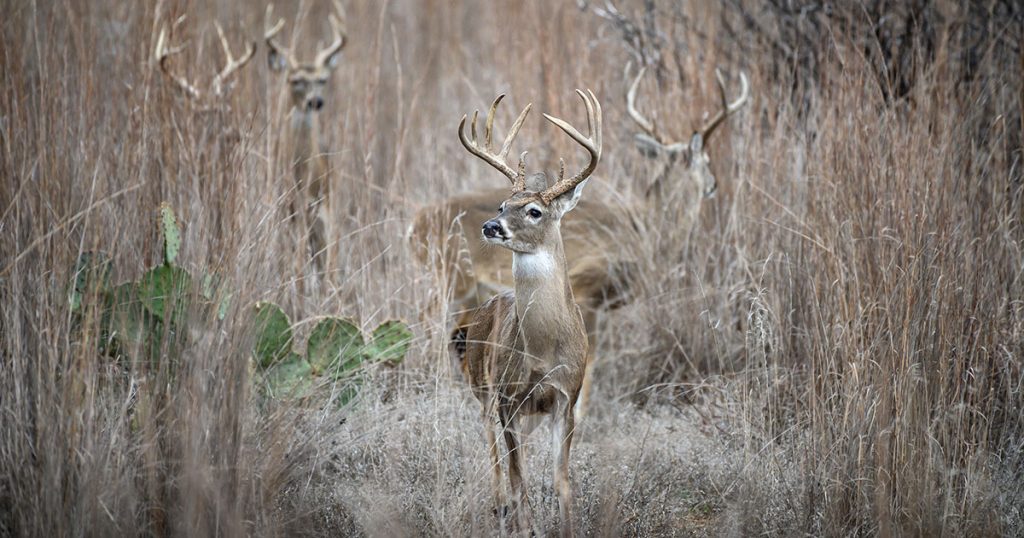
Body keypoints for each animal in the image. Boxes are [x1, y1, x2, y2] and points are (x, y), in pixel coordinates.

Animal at [264, 2, 347, 275]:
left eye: (322, 80)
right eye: (295, 80)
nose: (315, 101)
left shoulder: (318, 206)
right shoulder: (286, 208)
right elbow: (294, 260)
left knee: (327, 257)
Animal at [411, 66, 749, 417]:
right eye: (706, 162)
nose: (714, 184)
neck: (645, 229)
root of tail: (414, 224)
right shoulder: (589, 284)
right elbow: (590, 359)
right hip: (447, 280)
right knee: (427, 332)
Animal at [458, 88, 601, 538]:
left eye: (534, 211)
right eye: (503, 204)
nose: (491, 226)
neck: (542, 349)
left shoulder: (566, 398)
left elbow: (561, 480)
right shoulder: (509, 398)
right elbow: (519, 477)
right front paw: (526, 527)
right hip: (482, 390)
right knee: (496, 462)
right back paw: (500, 510)